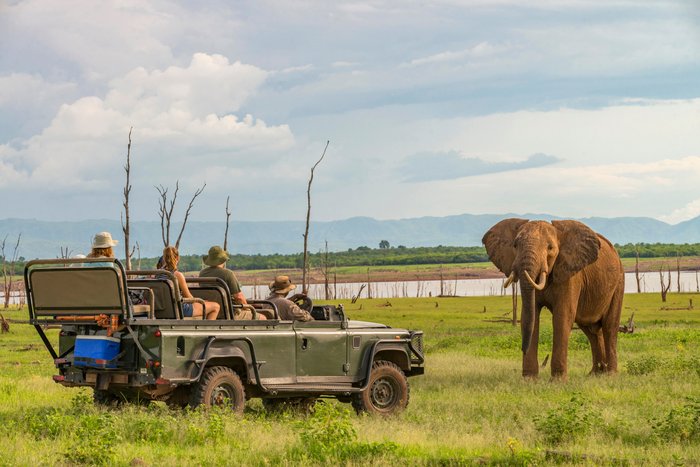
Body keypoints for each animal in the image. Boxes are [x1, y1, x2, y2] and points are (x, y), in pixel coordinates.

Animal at [482, 219, 624, 380]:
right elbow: (530, 316)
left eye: (550, 248)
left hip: (618, 281)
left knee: (609, 326)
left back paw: (610, 374)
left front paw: (557, 381)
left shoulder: (569, 273)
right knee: (591, 330)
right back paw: (596, 374)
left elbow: (562, 317)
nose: (522, 348)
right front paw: (529, 380)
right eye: (515, 245)